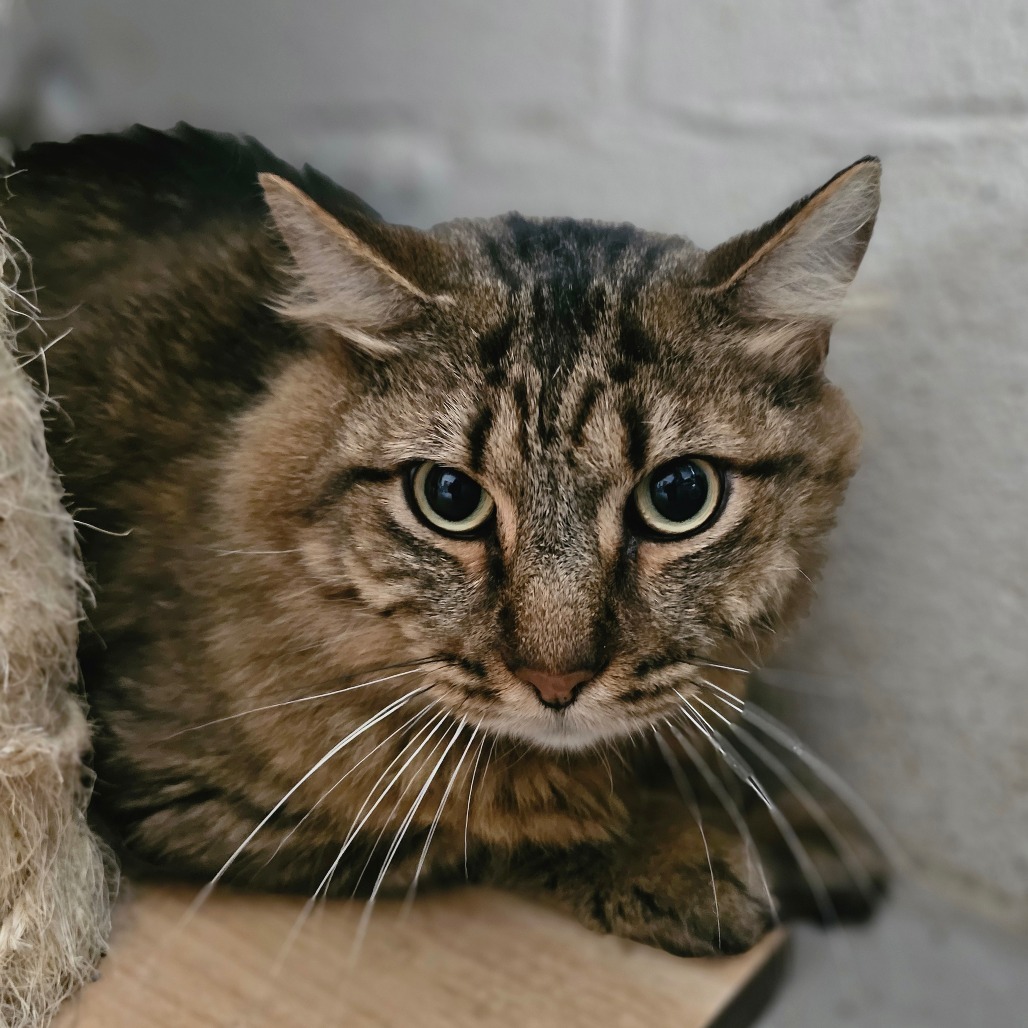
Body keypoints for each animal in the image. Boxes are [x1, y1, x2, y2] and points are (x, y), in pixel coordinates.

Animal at [0, 126, 884, 953]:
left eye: (679, 496)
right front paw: (680, 858)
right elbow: (489, 818)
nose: (556, 681)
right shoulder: (175, 793)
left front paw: (798, 821)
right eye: (449, 498)